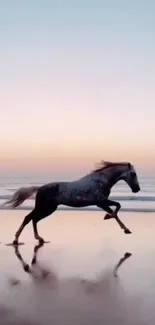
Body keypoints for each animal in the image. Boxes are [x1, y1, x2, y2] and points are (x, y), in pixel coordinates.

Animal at [3, 159, 140, 243]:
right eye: (133, 174)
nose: (137, 189)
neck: (100, 181)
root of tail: (39, 188)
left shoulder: (102, 202)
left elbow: (117, 207)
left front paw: (123, 227)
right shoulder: (101, 202)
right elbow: (116, 209)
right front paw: (113, 221)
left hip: (49, 209)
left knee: (34, 219)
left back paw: (39, 238)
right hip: (44, 207)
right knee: (29, 218)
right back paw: (16, 240)